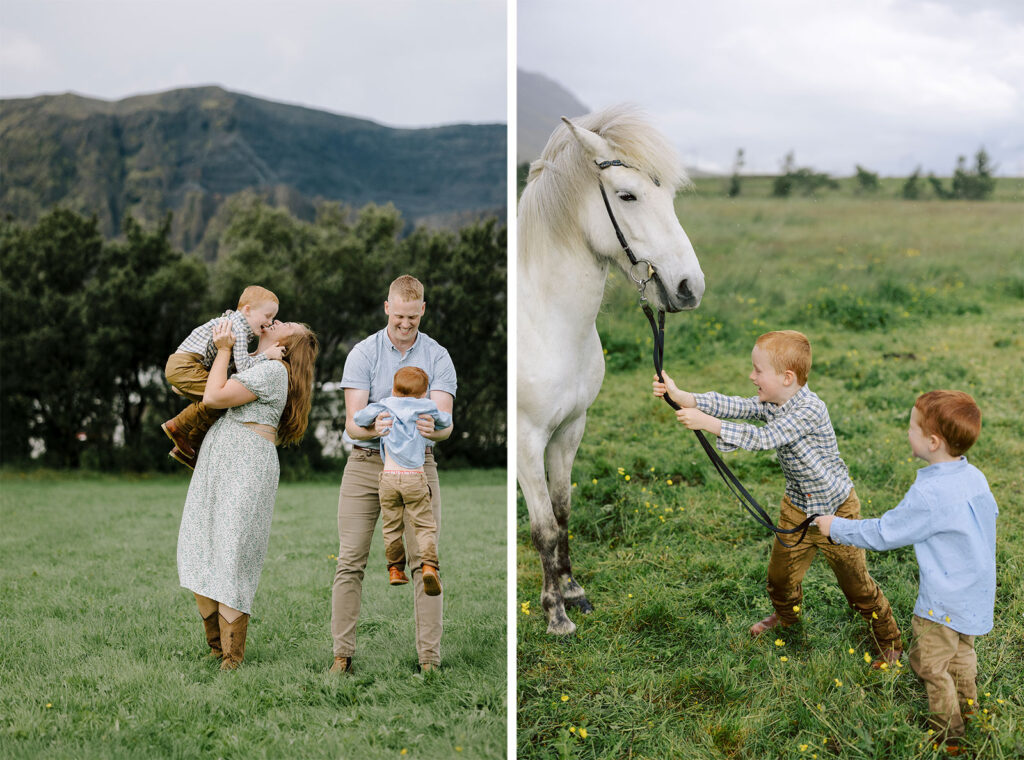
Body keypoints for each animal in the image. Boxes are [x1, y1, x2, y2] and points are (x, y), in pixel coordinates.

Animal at [520, 105, 704, 635]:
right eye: (627, 195)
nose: (690, 286)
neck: (546, 323)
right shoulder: (525, 440)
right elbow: (542, 528)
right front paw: (556, 615)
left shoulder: (570, 429)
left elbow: (562, 512)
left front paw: (572, 592)